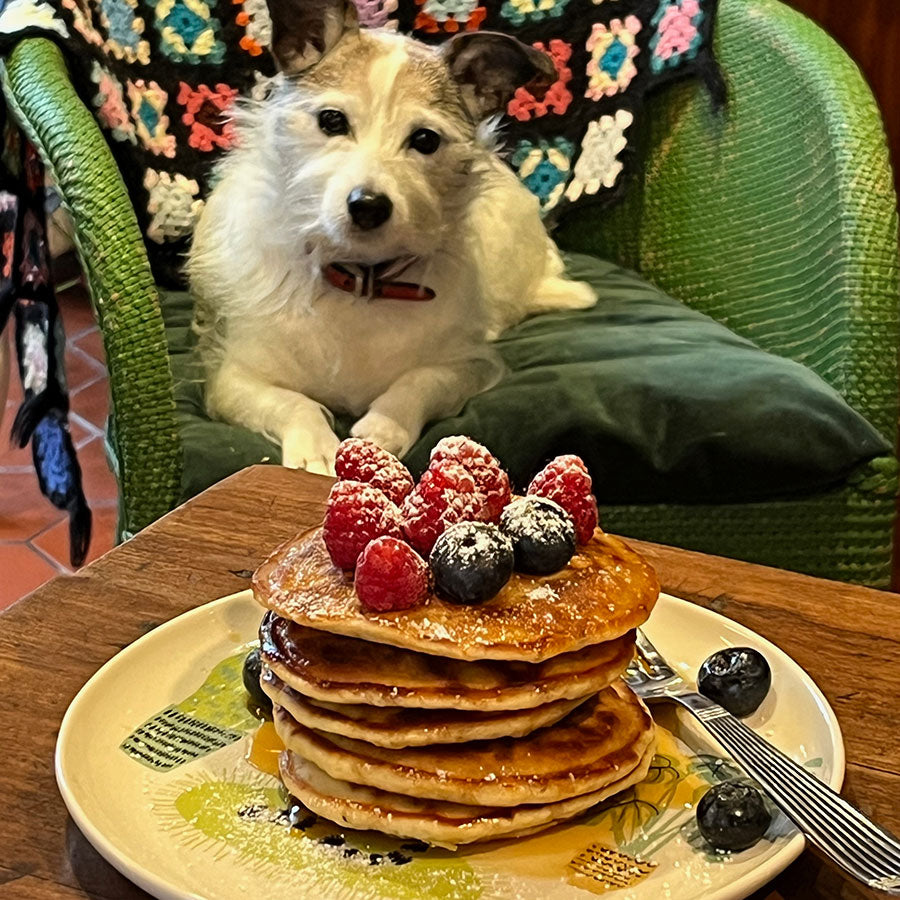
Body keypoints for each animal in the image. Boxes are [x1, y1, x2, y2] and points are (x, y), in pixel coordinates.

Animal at [188, 0, 596, 478]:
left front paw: (385, 424)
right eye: (331, 120)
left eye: (425, 140)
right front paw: (314, 446)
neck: (359, 280)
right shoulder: (231, 380)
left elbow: (420, 380)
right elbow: (292, 402)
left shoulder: (472, 366)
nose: (367, 205)